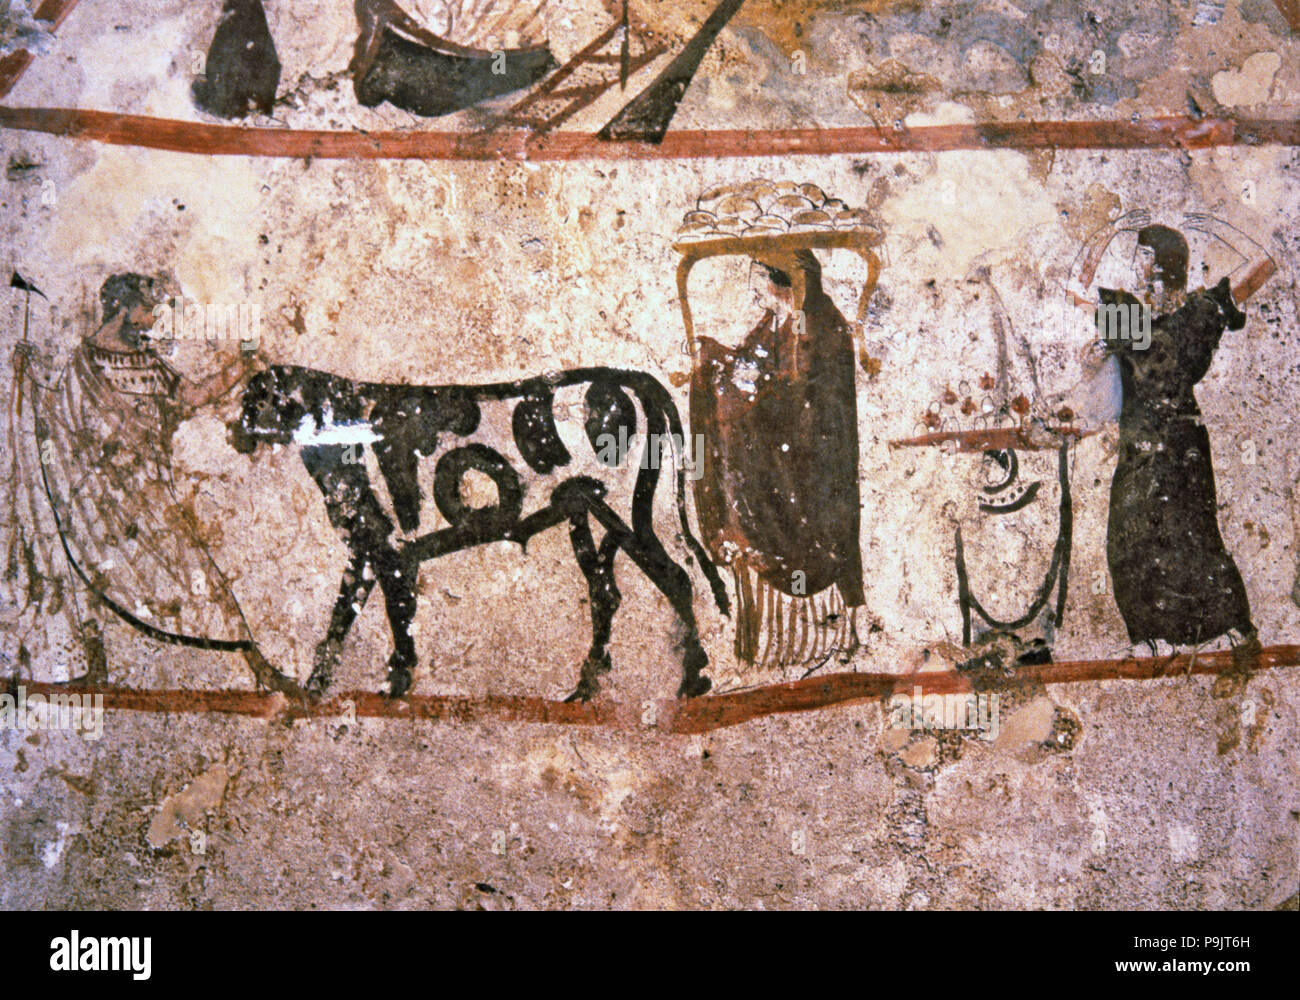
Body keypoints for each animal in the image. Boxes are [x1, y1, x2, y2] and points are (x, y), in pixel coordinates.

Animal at [232, 364, 733, 697]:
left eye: (261, 399)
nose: (234, 435)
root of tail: (637, 379)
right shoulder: (371, 550)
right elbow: (344, 622)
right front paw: (317, 687)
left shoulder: (388, 553)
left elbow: (391, 619)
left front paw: (394, 685)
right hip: (583, 511)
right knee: (606, 594)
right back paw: (585, 687)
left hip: (626, 512)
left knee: (676, 579)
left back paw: (692, 679)